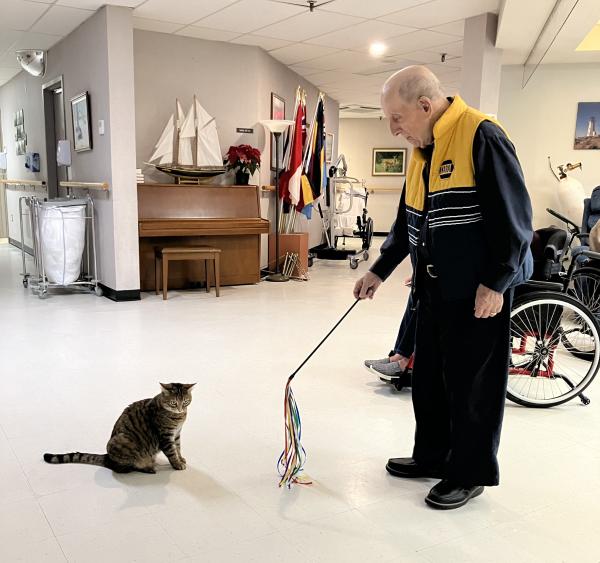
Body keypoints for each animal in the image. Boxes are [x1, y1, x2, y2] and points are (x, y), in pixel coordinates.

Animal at [44, 384, 195, 472]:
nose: (181, 409)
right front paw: (177, 464)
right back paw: (147, 467)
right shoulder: (165, 436)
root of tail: (107, 457)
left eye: (185, 402)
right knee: (123, 468)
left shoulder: (177, 434)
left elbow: (178, 448)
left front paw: (181, 459)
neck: (178, 418)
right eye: (173, 403)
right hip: (122, 442)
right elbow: (172, 452)